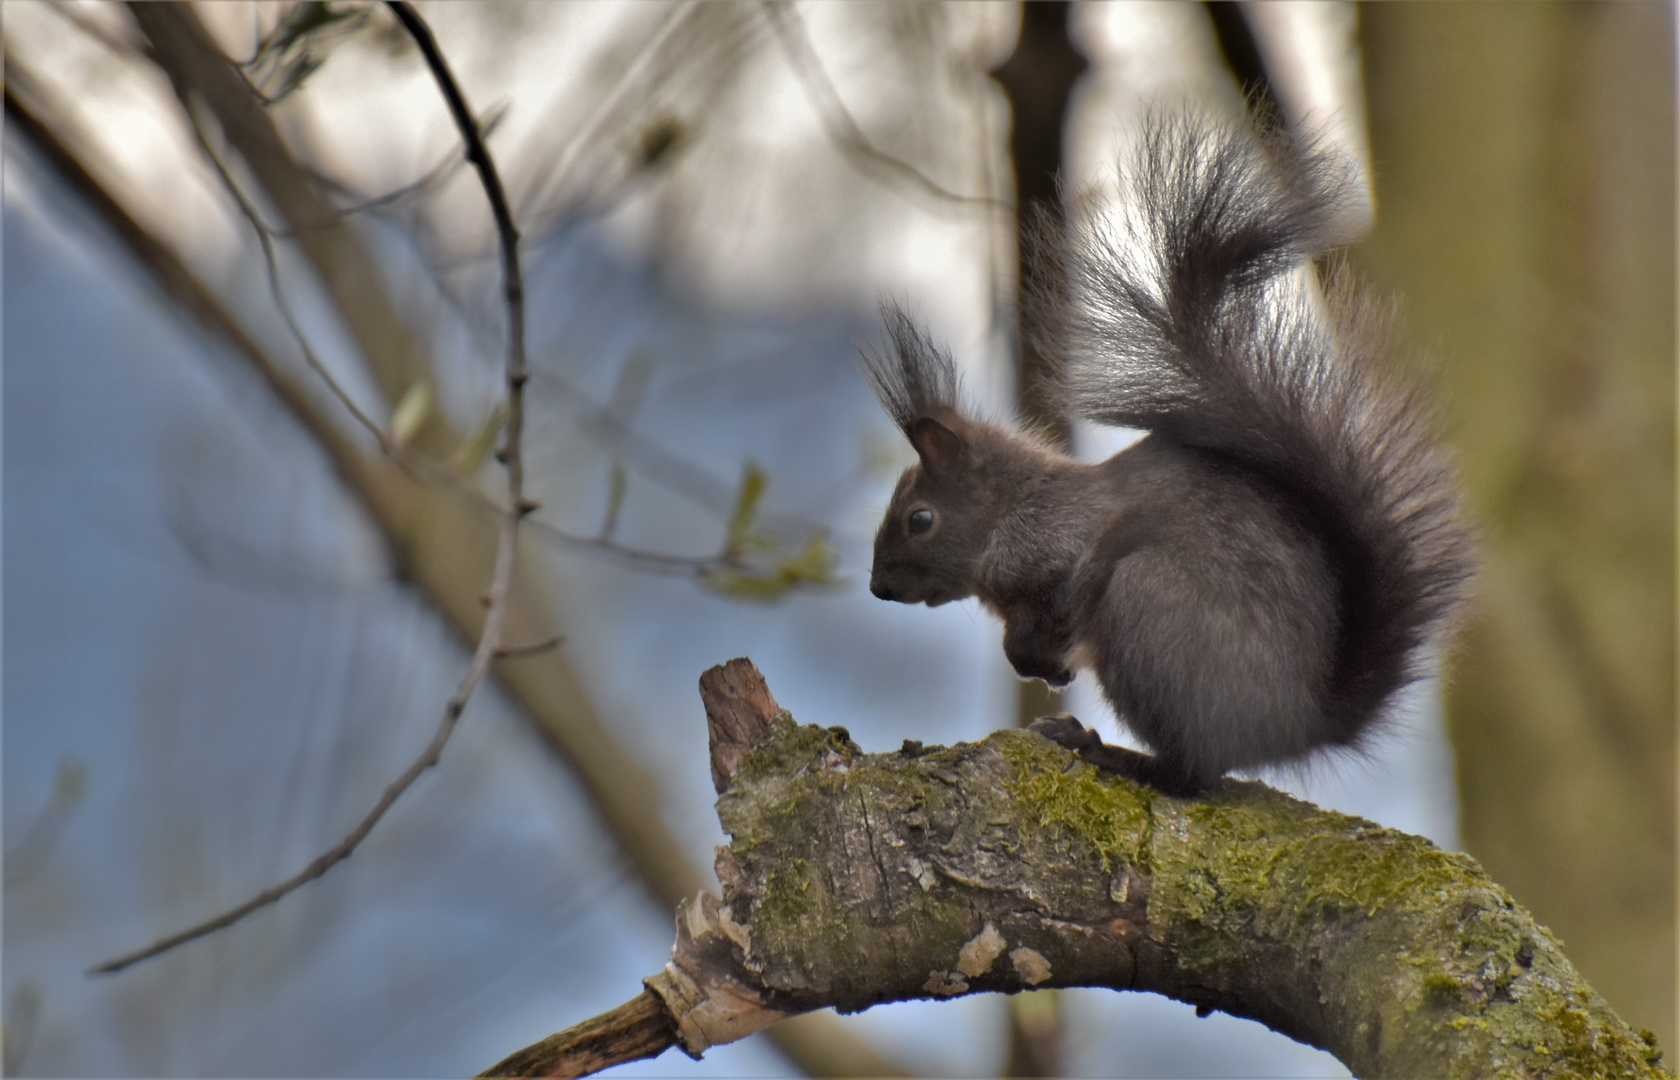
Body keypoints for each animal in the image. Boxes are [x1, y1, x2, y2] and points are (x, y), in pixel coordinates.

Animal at [866, 114, 1471, 799]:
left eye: (920, 519)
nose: (878, 587)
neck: (1012, 507)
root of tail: (1298, 723)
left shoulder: (1050, 552)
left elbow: (1049, 610)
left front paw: (1037, 663)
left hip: (1151, 609)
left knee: (1191, 772)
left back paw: (1106, 751)